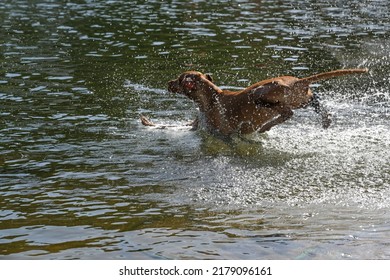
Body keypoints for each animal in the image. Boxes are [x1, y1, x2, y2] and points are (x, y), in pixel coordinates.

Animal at [142, 69, 368, 137]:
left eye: (179, 79)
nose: (168, 83)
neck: (212, 98)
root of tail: (297, 81)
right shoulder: (195, 125)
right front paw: (148, 122)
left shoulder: (219, 132)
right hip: (302, 99)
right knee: (314, 102)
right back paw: (326, 119)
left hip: (262, 95)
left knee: (286, 112)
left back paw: (265, 127)